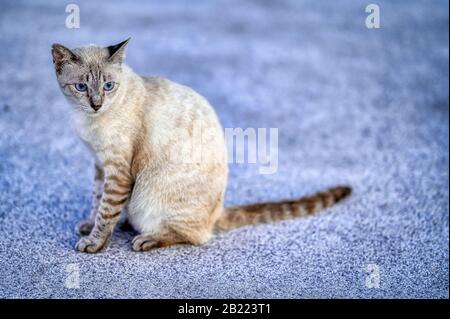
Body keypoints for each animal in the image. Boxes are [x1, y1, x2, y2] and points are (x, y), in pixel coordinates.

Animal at [50, 39, 352, 255]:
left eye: (109, 86)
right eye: (81, 87)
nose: (96, 104)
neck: (88, 121)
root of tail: (219, 210)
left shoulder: (118, 170)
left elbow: (105, 210)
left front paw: (94, 242)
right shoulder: (100, 164)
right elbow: (97, 199)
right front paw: (89, 226)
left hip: (150, 198)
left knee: (196, 236)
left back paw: (146, 240)